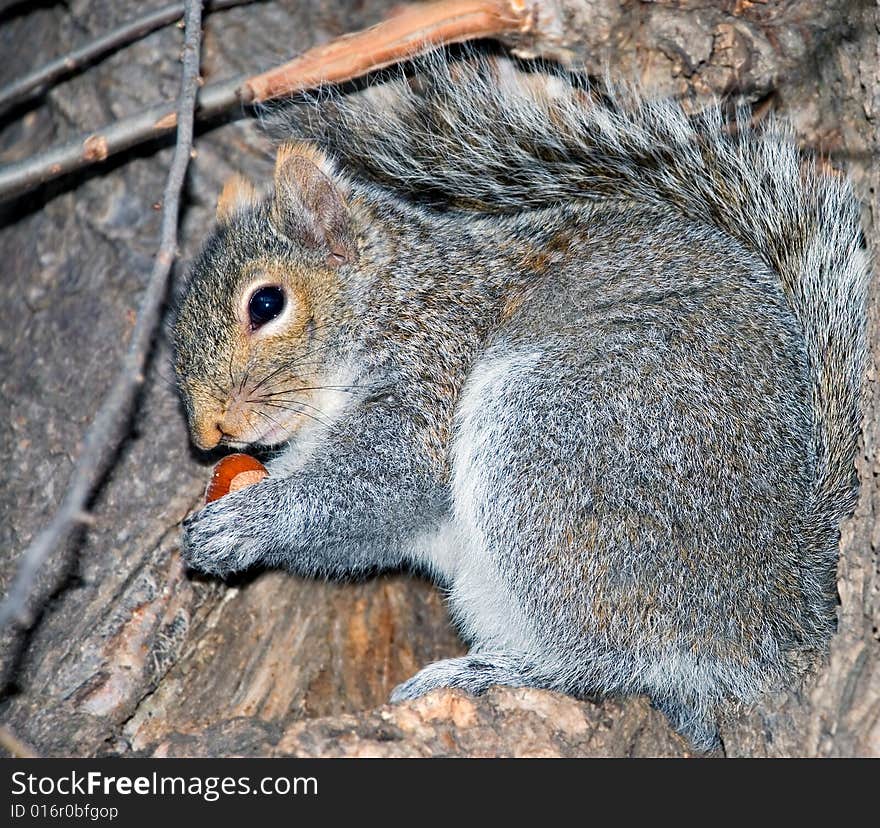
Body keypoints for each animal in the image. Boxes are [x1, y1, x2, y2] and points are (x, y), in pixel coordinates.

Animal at [172, 51, 868, 752]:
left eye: (266, 303)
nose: (206, 434)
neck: (393, 299)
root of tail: (781, 602)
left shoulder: (434, 371)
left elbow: (384, 483)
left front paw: (244, 523)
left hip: (551, 454)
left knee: (616, 659)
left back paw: (489, 673)